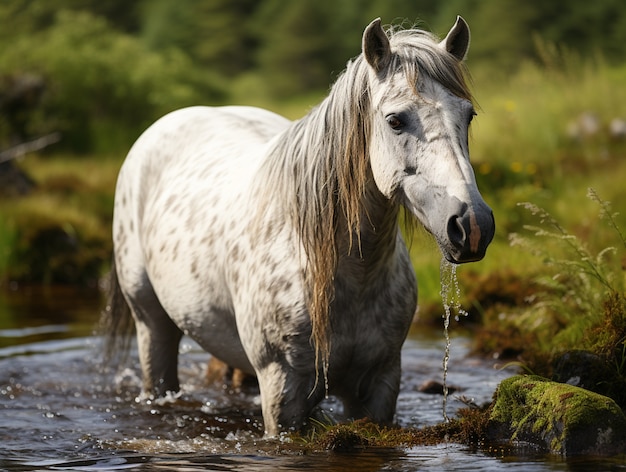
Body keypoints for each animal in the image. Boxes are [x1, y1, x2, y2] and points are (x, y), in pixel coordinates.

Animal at [103, 16, 492, 436]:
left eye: (468, 115)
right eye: (395, 120)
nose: (472, 224)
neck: (345, 272)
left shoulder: (380, 384)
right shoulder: (282, 388)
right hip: (151, 322)